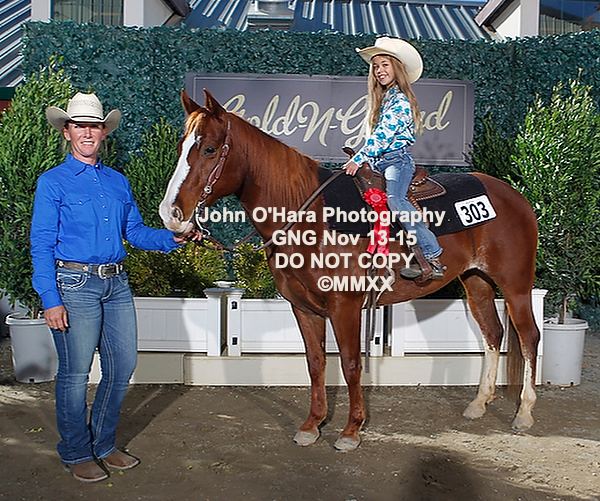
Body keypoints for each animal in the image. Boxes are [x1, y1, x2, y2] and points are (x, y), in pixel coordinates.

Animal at [160, 89, 541, 452]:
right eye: (180, 147)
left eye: (209, 148)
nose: (171, 213)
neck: (310, 217)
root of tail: (515, 196)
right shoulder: (303, 307)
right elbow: (316, 363)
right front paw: (312, 424)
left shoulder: (346, 305)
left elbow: (350, 363)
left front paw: (351, 430)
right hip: (476, 282)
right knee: (493, 333)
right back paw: (479, 403)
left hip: (516, 285)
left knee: (528, 337)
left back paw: (524, 413)